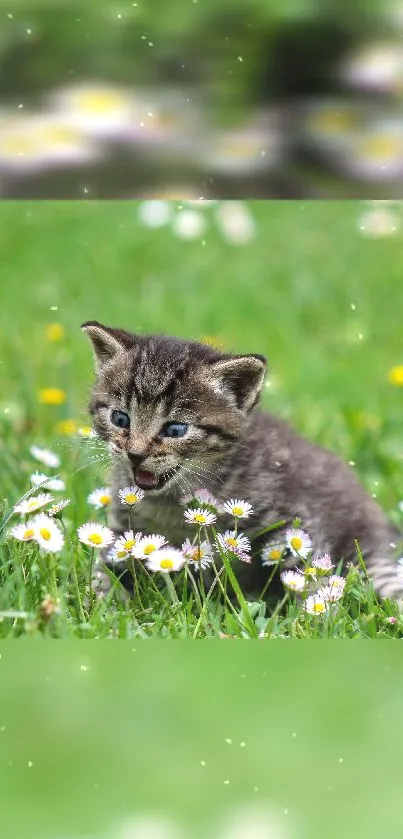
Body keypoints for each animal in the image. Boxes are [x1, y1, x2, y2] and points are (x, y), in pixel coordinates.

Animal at [82, 322, 403, 604]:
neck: (171, 502)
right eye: (120, 419)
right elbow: (106, 567)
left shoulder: (296, 520)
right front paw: (101, 602)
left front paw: (312, 618)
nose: (135, 454)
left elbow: (308, 575)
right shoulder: (125, 528)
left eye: (175, 430)